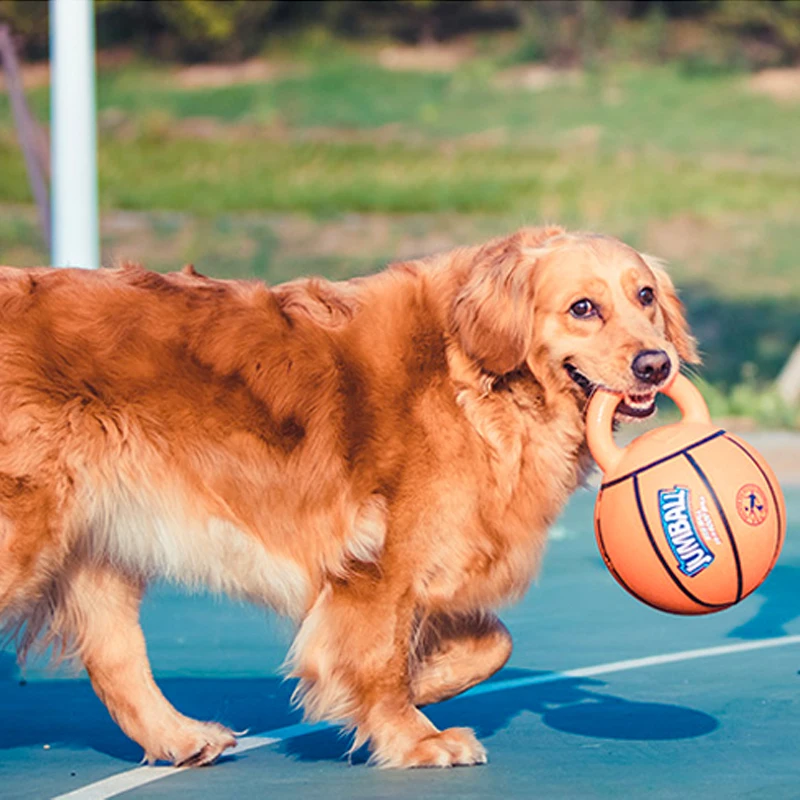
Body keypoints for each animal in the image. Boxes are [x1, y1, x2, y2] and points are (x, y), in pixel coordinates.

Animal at [0, 225, 696, 768]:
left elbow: (493, 645)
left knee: (116, 658)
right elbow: (380, 658)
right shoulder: (379, 563)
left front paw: (425, 683)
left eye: (645, 297)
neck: (475, 380)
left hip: (97, 542)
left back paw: (180, 736)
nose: (656, 364)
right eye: (583, 308)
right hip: (25, 537)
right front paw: (414, 737)